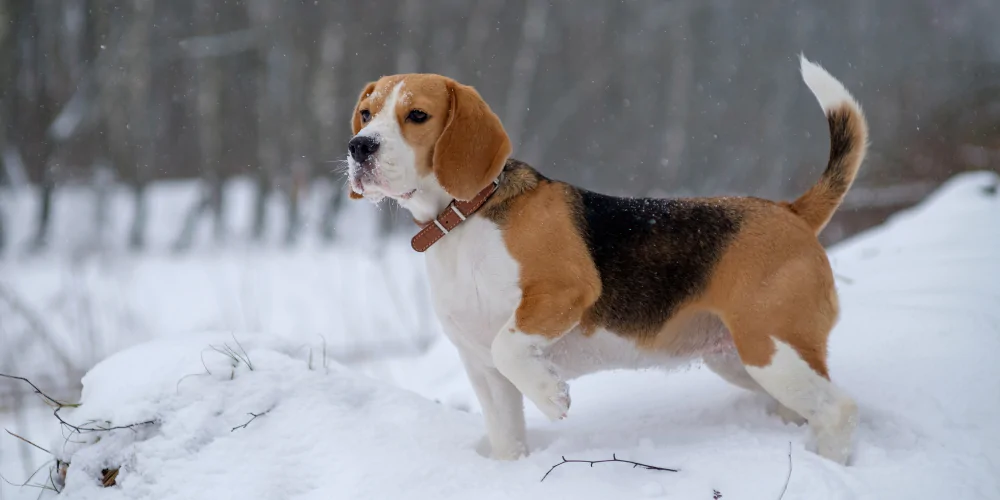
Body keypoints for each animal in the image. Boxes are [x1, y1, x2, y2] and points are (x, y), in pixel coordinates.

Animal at [344, 55, 868, 464]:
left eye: (417, 115)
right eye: (366, 114)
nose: (359, 146)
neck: (463, 219)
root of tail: (790, 211)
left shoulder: (563, 290)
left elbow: (509, 344)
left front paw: (552, 396)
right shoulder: (483, 370)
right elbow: (506, 434)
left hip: (771, 348)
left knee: (840, 409)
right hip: (743, 360)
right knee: (812, 407)